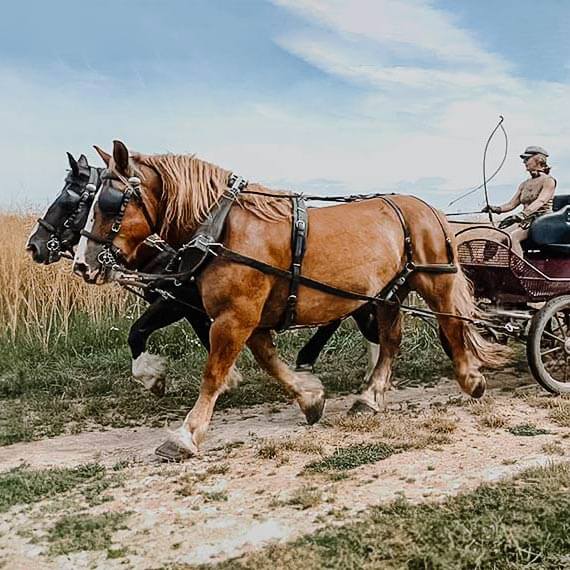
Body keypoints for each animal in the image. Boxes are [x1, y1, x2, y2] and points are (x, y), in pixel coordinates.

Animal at [28, 151, 380, 394]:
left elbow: (137, 331)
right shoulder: (195, 305)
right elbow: (204, 337)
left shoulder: (175, 301)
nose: (34, 246)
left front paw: (153, 376)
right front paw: (231, 376)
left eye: (71, 201)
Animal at [73, 140, 508, 460]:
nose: (82, 265)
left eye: (109, 204)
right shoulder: (248, 316)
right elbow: (269, 362)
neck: (223, 228)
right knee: (391, 339)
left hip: (434, 279)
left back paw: (470, 379)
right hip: (389, 292)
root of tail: (429, 208)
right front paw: (310, 397)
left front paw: (186, 434)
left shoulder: (235, 316)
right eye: (85, 203)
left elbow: (214, 372)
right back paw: (370, 396)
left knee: (451, 323)